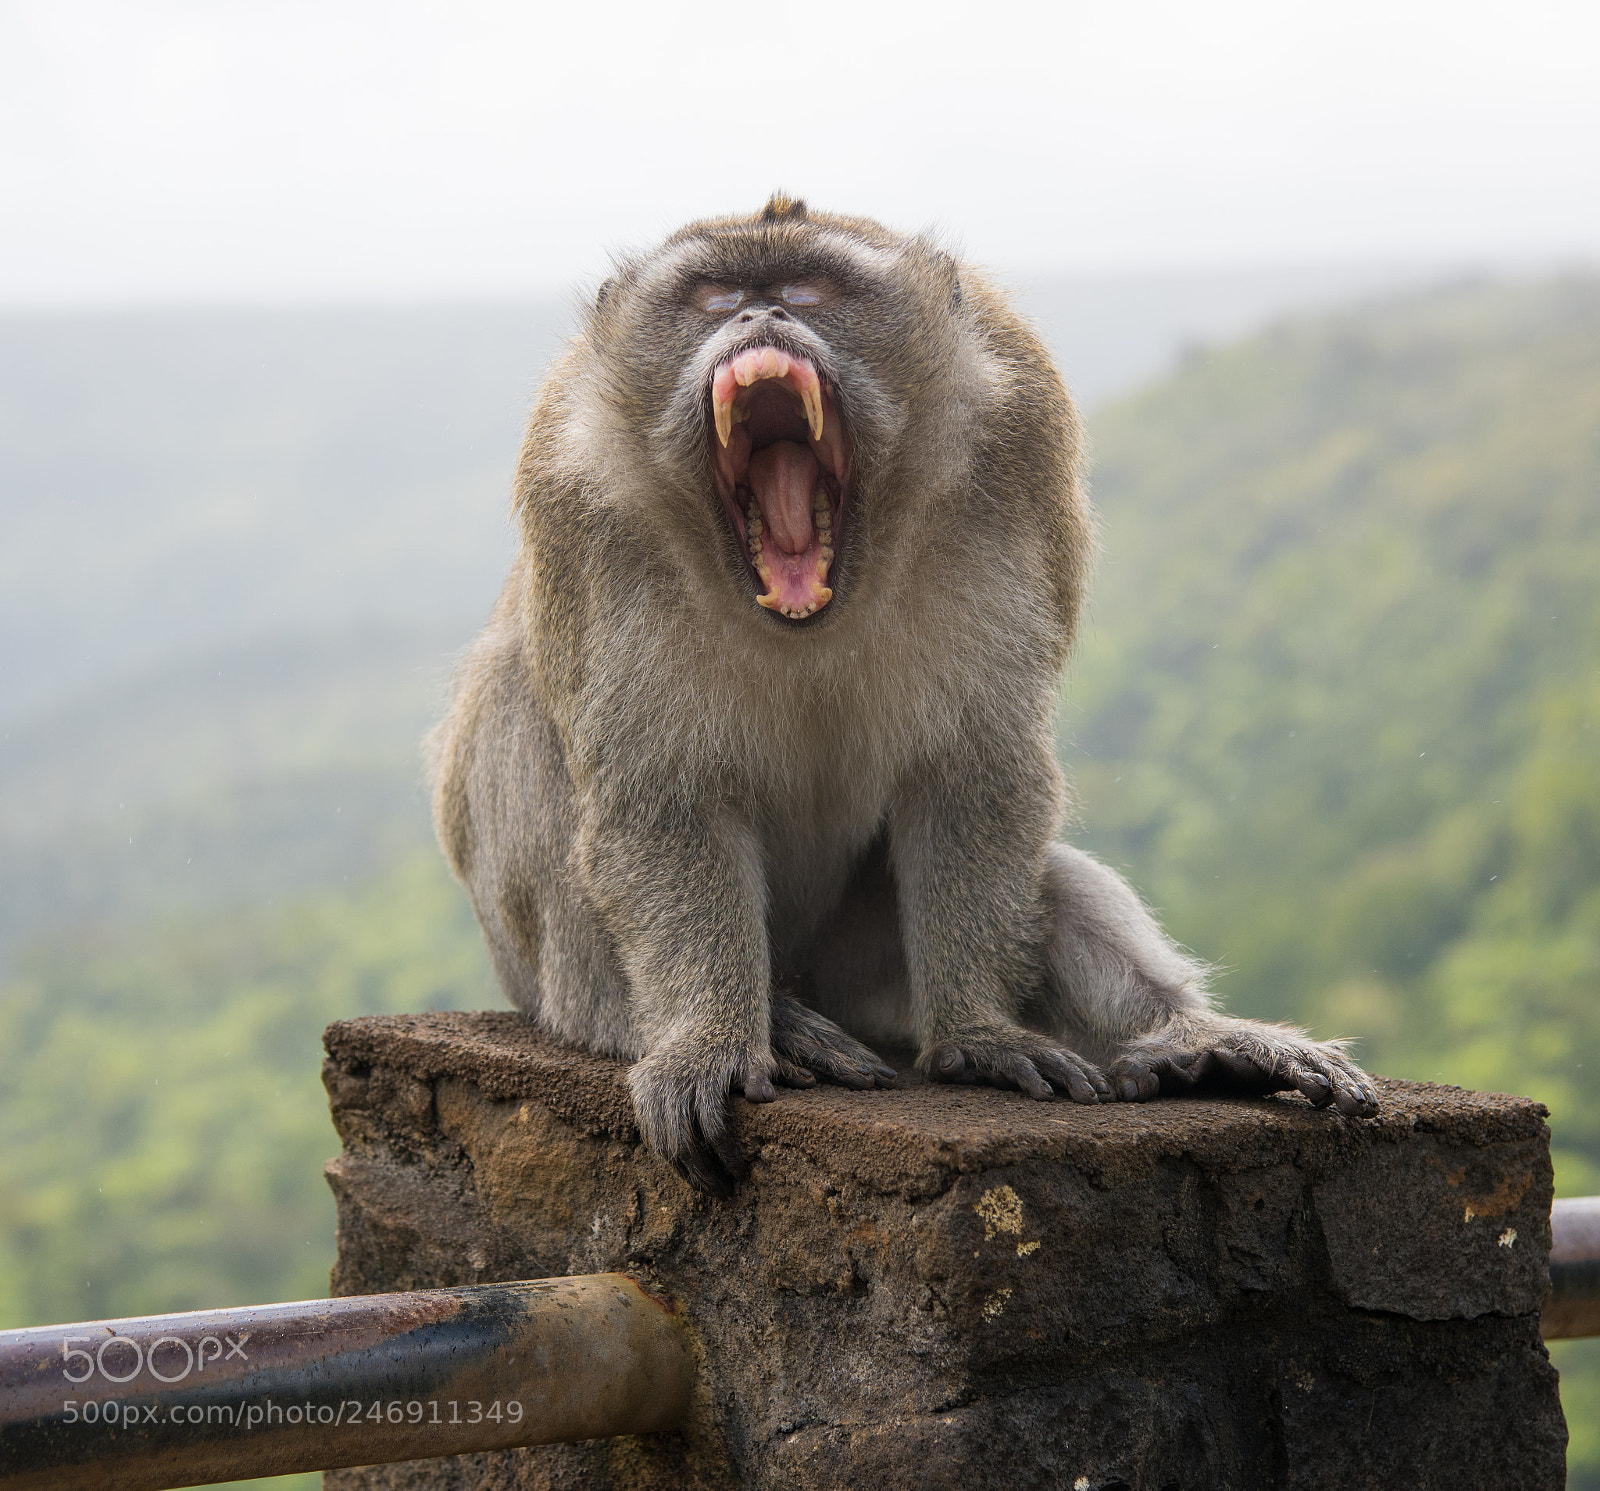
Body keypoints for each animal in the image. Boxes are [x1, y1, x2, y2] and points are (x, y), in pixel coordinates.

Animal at [428, 193, 1379, 1195]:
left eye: (811, 288)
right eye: (714, 296)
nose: (760, 315)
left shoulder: (1013, 455)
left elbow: (977, 766)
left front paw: (979, 1035)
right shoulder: (581, 505)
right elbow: (661, 799)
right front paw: (707, 1041)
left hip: (866, 972)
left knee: (1043, 873)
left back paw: (1192, 1038)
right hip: (547, 967)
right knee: (515, 729)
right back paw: (745, 1021)